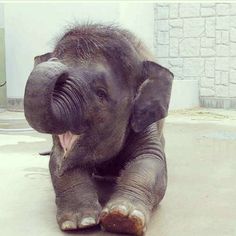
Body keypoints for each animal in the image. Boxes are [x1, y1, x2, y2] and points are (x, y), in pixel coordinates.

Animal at [24, 24, 173, 234]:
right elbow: (59, 162)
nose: (54, 61)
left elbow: (150, 160)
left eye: (101, 94)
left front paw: (123, 218)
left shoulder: (144, 123)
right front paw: (80, 222)